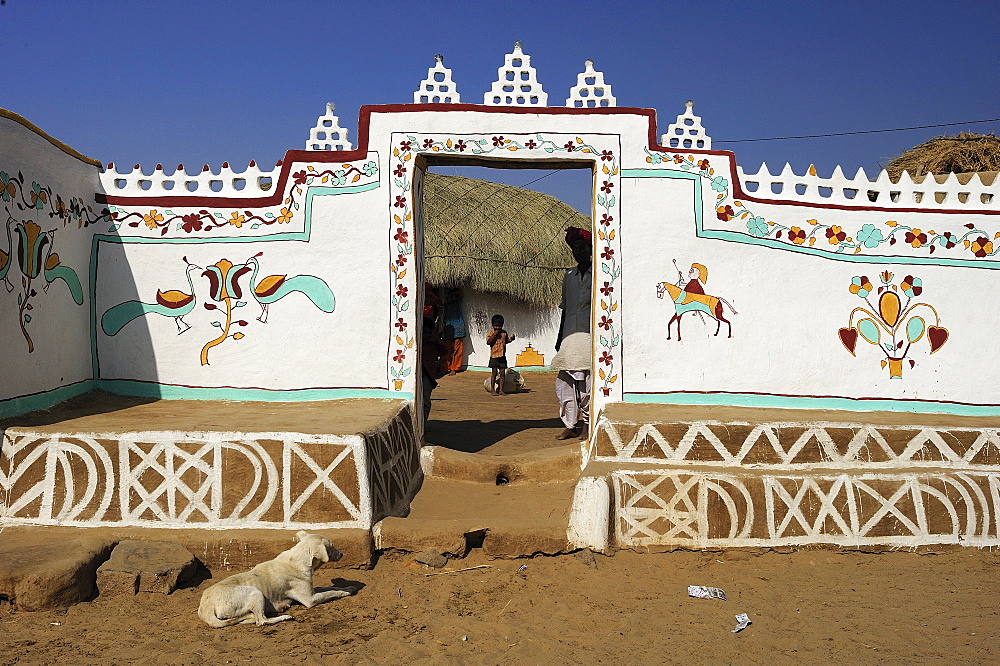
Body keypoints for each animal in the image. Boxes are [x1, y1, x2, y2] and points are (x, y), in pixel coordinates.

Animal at [197, 532, 358, 624]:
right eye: (332, 546)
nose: (342, 554)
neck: (298, 559)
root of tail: (205, 607)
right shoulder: (310, 599)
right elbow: (331, 592)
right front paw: (346, 592)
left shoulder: (311, 591)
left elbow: (330, 587)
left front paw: (348, 587)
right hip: (255, 592)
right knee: (261, 621)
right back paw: (283, 617)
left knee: (247, 619)